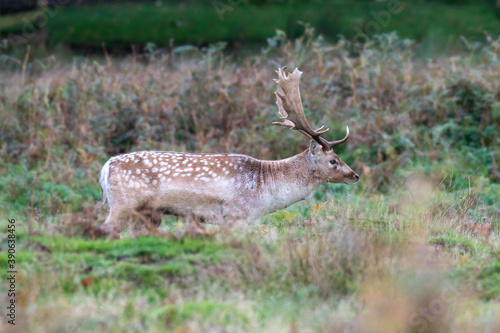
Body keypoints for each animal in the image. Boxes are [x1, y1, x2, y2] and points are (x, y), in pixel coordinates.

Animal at [98, 66, 360, 235]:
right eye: (334, 160)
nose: (355, 175)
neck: (265, 191)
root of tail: (106, 167)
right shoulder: (235, 215)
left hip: (148, 214)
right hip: (123, 205)